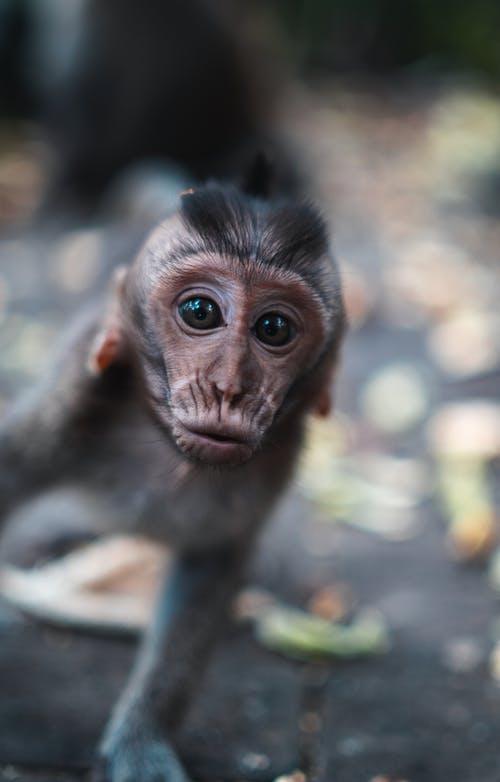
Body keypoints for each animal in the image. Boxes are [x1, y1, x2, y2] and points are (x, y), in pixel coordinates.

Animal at [0, 181, 344, 780]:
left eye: (275, 328)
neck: (165, 451)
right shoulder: (74, 407)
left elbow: (210, 567)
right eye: (200, 311)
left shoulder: (269, 472)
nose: (228, 388)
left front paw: (142, 738)